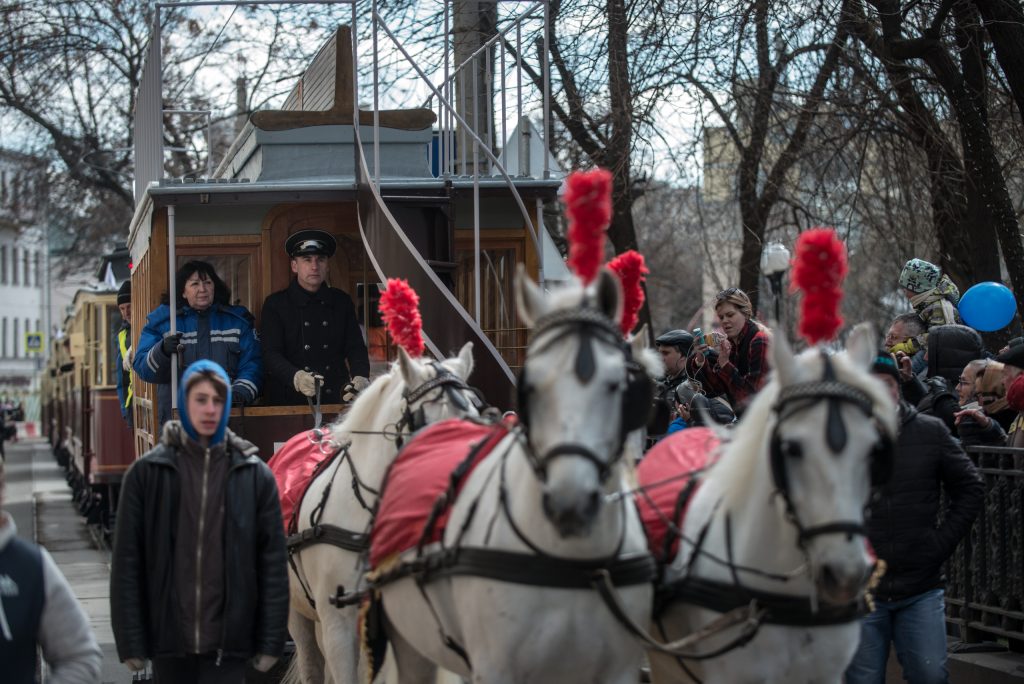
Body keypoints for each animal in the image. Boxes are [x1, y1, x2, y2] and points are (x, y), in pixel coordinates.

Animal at [376, 266, 655, 684]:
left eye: (621, 385)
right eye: (529, 387)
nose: (570, 502)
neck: (569, 559)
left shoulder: (618, 668)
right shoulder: (494, 666)